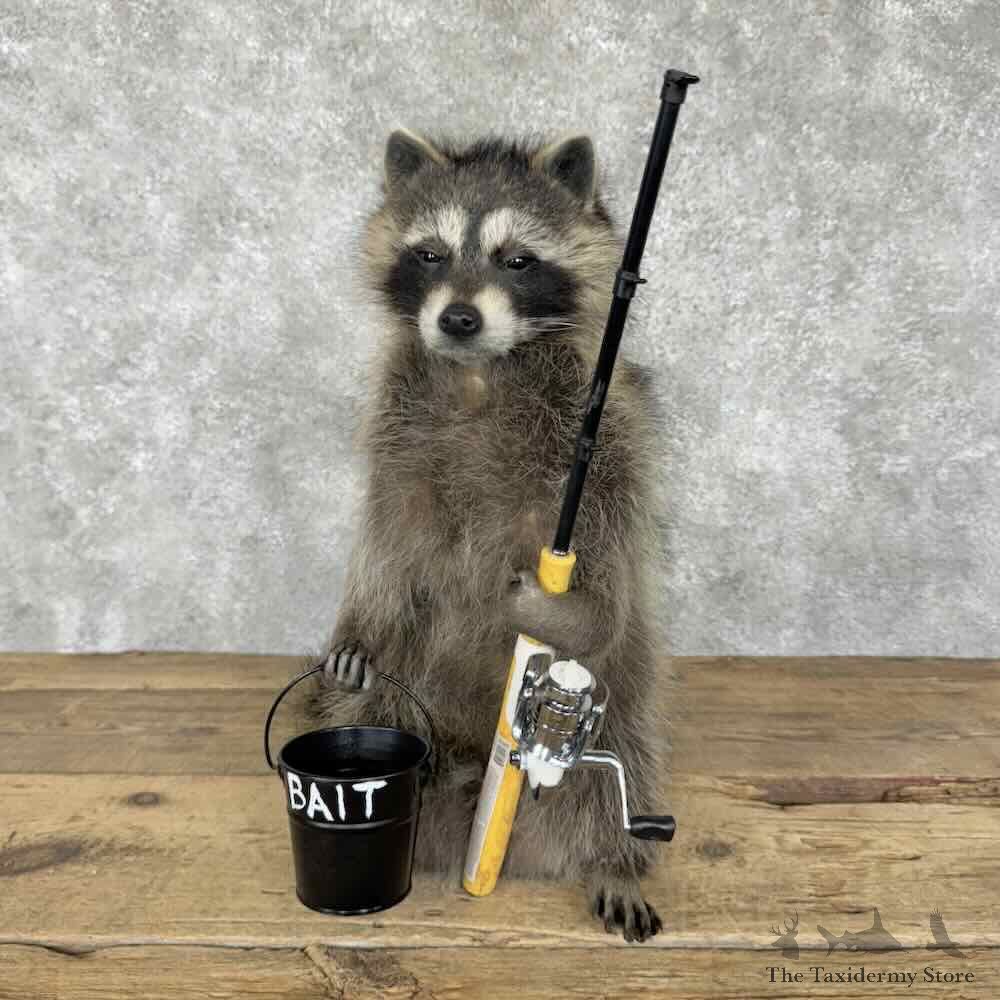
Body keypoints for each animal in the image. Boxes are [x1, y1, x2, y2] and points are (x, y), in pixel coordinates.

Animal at [312, 128, 669, 942]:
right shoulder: (398, 433)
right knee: (371, 703)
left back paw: (614, 858)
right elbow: (388, 541)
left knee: (625, 759)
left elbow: (611, 571)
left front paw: (571, 612)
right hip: (408, 691)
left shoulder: (605, 440)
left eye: (517, 260)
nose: (459, 319)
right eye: (430, 253)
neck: (478, 372)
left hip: (621, 704)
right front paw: (360, 620)